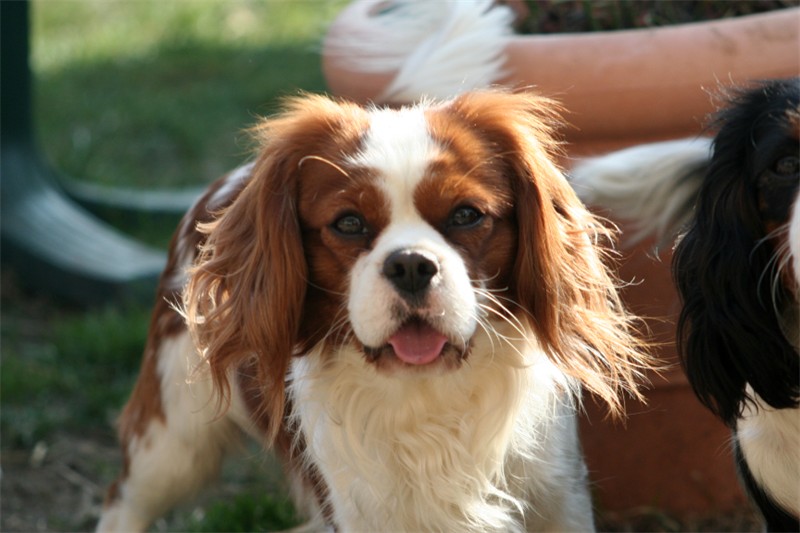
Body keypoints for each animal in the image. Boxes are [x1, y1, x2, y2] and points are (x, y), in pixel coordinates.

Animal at [95, 89, 648, 528]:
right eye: (349, 223)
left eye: (466, 215)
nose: (410, 265)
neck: (425, 398)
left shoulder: (558, 497)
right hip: (173, 435)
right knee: (125, 499)